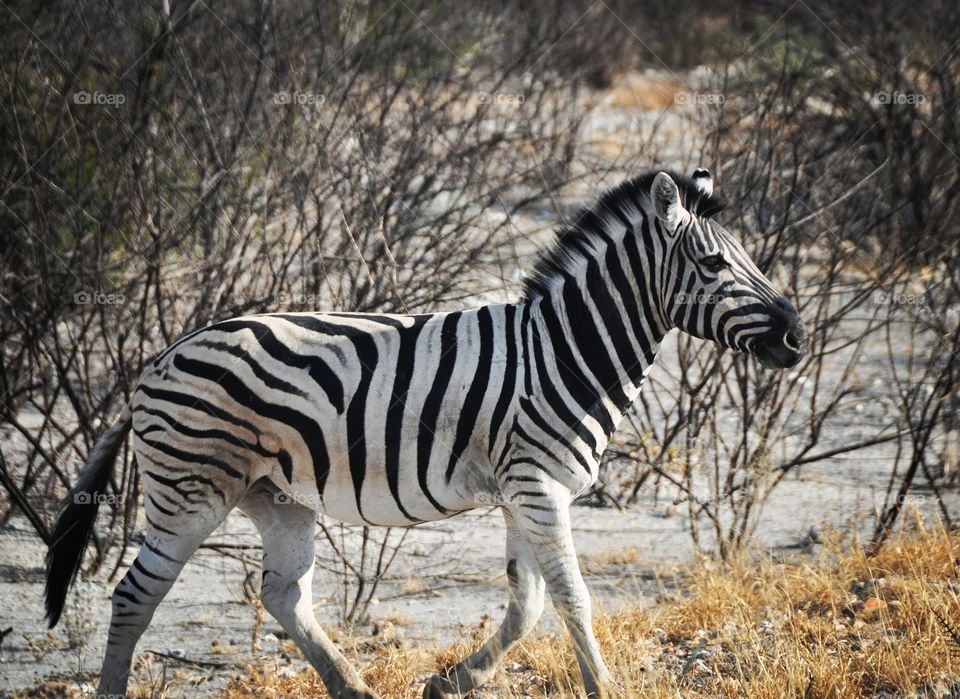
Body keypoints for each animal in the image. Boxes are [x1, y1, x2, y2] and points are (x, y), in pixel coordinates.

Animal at [44, 169, 806, 698]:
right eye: (713, 265)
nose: (797, 337)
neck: (563, 348)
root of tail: (159, 358)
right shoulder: (538, 485)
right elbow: (571, 597)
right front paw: (603, 688)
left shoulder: (524, 489)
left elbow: (527, 603)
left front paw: (451, 681)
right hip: (189, 490)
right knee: (134, 595)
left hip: (277, 494)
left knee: (284, 592)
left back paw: (353, 687)